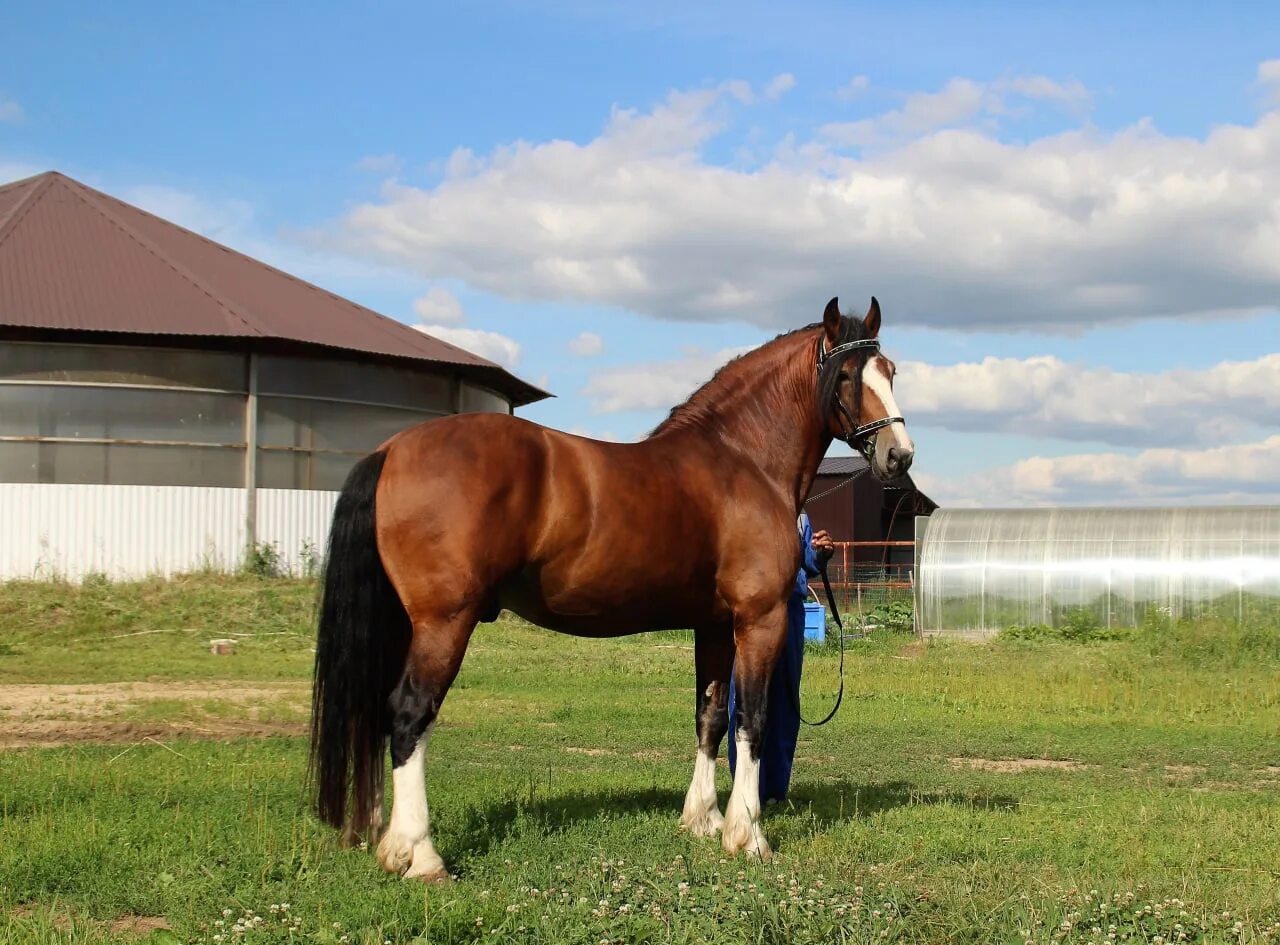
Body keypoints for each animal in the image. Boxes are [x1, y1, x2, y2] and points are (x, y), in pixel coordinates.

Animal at [305, 298, 916, 880]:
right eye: (845, 376)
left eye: (890, 371)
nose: (899, 456)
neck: (742, 461)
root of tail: (391, 449)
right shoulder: (757, 620)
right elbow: (753, 721)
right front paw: (747, 836)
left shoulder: (715, 626)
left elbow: (711, 716)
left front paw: (703, 820)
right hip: (443, 624)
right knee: (409, 714)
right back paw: (421, 856)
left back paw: (386, 840)